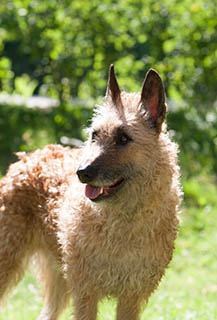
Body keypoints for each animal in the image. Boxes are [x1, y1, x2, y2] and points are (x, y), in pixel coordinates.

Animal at [0, 65, 181, 320]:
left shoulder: (131, 296)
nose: (81, 172)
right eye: (94, 135)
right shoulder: (85, 292)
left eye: (123, 138)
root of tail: (28, 156)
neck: (123, 220)